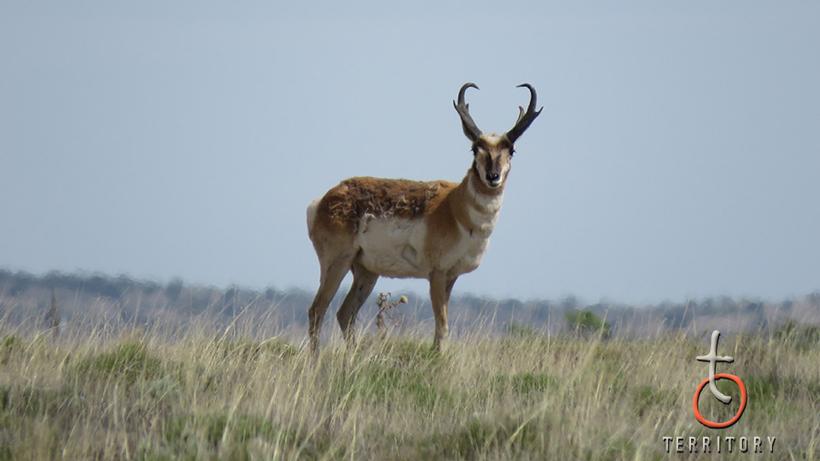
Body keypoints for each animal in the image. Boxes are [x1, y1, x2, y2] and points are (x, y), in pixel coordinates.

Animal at [305, 82, 541, 353]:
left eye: (511, 149)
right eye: (475, 148)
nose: (493, 177)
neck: (454, 207)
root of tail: (324, 199)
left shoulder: (452, 276)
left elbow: (443, 325)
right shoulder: (436, 274)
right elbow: (442, 326)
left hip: (366, 272)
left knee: (345, 313)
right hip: (337, 263)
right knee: (317, 310)